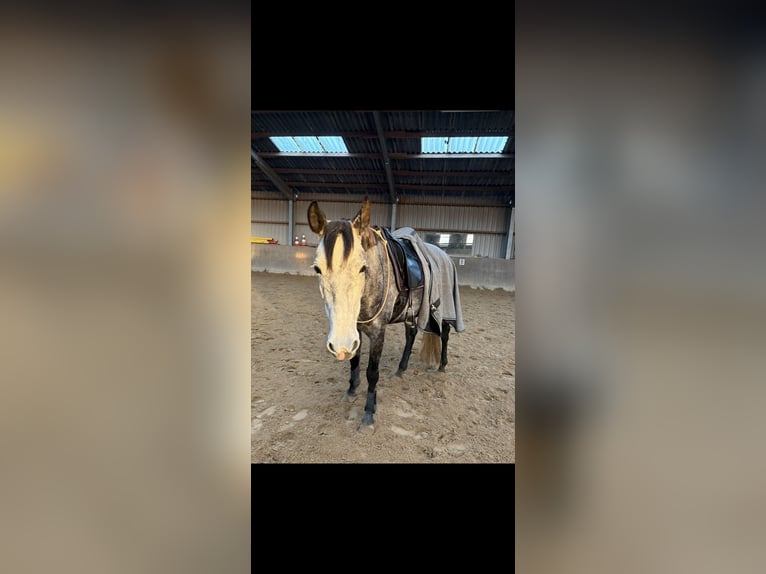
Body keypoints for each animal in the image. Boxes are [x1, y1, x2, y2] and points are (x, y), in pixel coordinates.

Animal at [308, 196, 455, 428]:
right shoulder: (356, 331)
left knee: (445, 333)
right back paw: (401, 370)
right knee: (411, 335)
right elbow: (354, 362)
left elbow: (372, 372)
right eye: (317, 269)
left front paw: (369, 413)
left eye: (362, 268)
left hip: (443, 308)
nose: (340, 346)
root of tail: (445, 256)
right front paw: (351, 391)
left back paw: (442, 366)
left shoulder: (378, 332)